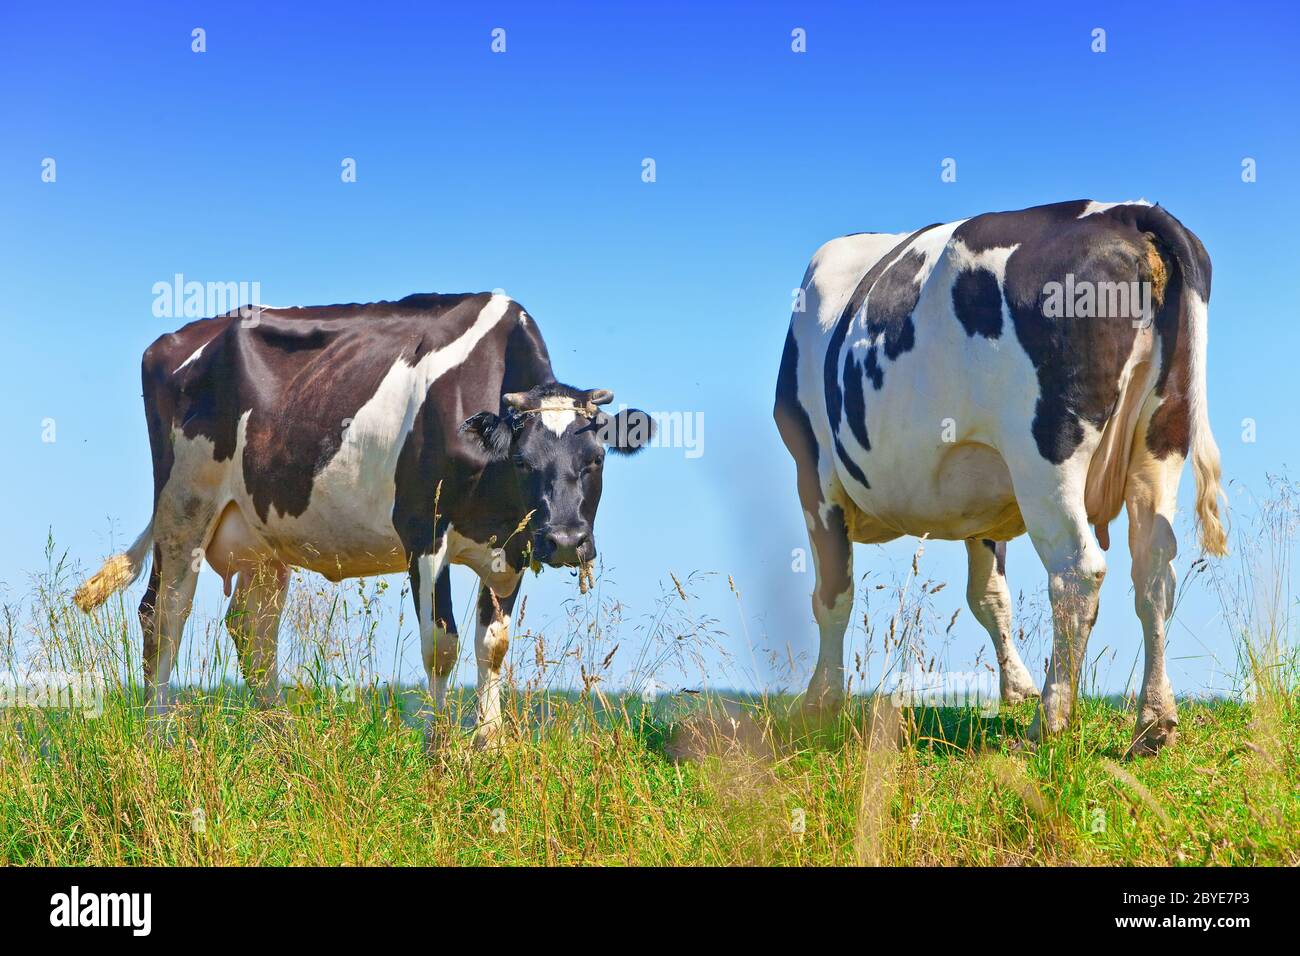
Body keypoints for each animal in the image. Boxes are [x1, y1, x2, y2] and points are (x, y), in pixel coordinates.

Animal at [73, 291, 650, 749]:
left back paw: (281, 742)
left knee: (253, 630)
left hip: (263, 534)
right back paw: (158, 738)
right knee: (164, 615)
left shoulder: (511, 546)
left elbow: (494, 644)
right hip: (183, 509)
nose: (566, 540)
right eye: (524, 461)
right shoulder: (424, 533)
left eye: (595, 460)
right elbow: (441, 645)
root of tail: (175, 339)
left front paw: (491, 746)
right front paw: (438, 751)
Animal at [774, 201, 1222, 754]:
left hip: (1045, 455)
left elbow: (833, 594)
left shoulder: (813, 472)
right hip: (1162, 439)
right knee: (1155, 571)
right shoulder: (983, 501)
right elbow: (989, 598)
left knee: (1078, 572)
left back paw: (1049, 721)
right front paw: (1017, 688)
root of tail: (1126, 214)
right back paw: (1153, 722)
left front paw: (820, 702)